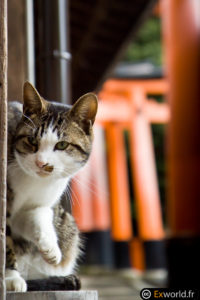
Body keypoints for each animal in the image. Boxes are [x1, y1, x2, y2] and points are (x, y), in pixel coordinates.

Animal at [5, 81, 97, 292]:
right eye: (32, 140)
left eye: (62, 145)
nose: (42, 163)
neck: (33, 183)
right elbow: (5, 241)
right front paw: (10, 277)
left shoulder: (35, 205)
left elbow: (37, 214)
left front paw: (50, 247)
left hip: (68, 228)